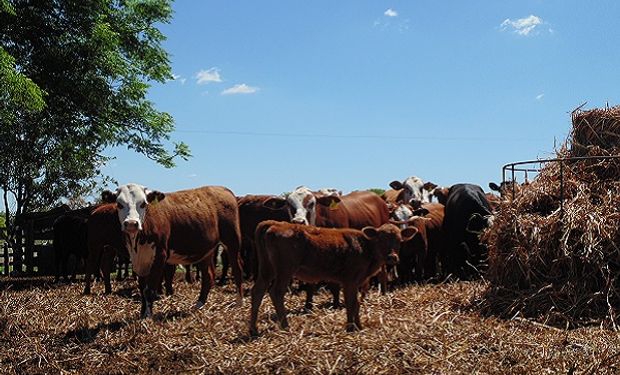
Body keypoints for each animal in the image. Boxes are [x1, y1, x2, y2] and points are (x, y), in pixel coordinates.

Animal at [100, 184, 242, 318]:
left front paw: (147, 317)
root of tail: (223, 189)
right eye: (119, 204)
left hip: (232, 241)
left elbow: (149, 290)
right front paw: (142, 313)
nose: (131, 223)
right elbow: (142, 288)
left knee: (237, 269)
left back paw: (238, 303)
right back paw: (199, 305)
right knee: (208, 276)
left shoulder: (160, 256)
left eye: (143, 204)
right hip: (205, 250)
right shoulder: (139, 260)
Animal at [248, 220, 416, 334]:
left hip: (266, 270)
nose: (392, 257)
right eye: (381, 239)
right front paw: (351, 327)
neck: (365, 247)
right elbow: (351, 303)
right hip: (285, 270)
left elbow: (355, 304)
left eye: (399, 240)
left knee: (257, 291)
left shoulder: (355, 282)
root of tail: (275, 223)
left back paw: (253, 329)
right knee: (276, 292)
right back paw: (285, 326)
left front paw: (358, 326)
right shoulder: (350, 281)